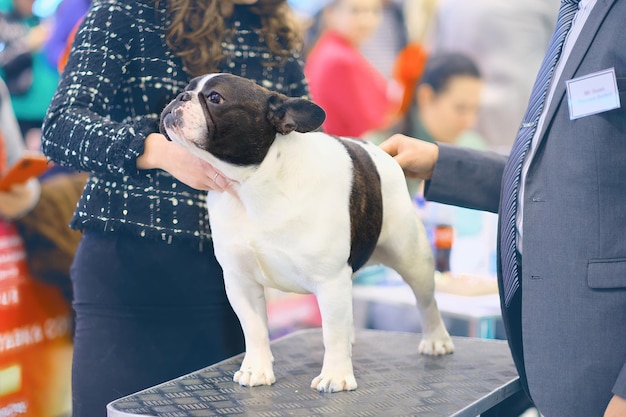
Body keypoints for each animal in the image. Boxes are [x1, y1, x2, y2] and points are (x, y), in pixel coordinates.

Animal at [158, 73, 450, 392]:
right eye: (186, 89)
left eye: (214, 98)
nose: (179, 97)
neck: (251, 185)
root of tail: (381, 153)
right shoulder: (241, 281)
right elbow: (254, 329)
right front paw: (256, 369)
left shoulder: (330, 280)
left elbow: (331, 333)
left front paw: (335, 375)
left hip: (412, 257)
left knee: (426, 301)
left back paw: (436, 341)